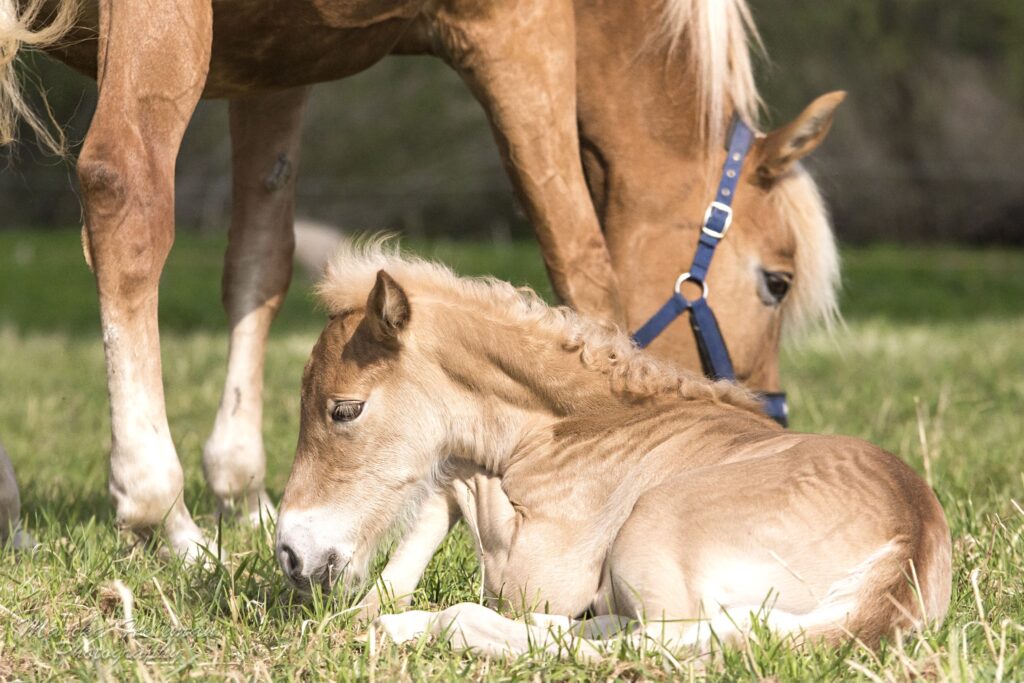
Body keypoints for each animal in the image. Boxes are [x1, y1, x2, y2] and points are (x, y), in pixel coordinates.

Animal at [2, 0, 839, 561]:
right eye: (777, 281)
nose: (768, 430)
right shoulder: (520, 31)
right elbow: (580, 258)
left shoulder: (274, 62)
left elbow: (261, 259)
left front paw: (243, 492)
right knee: (125, 189)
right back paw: (161, 512)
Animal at [274, 242, 950, 659]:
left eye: (345, 409)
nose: (291, 555)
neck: (577, 426)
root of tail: (901, 555)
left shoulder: (537, 569)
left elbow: (459, 483)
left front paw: (376, 614)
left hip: (649, 532)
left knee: (636, 645)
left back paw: (421, 626)